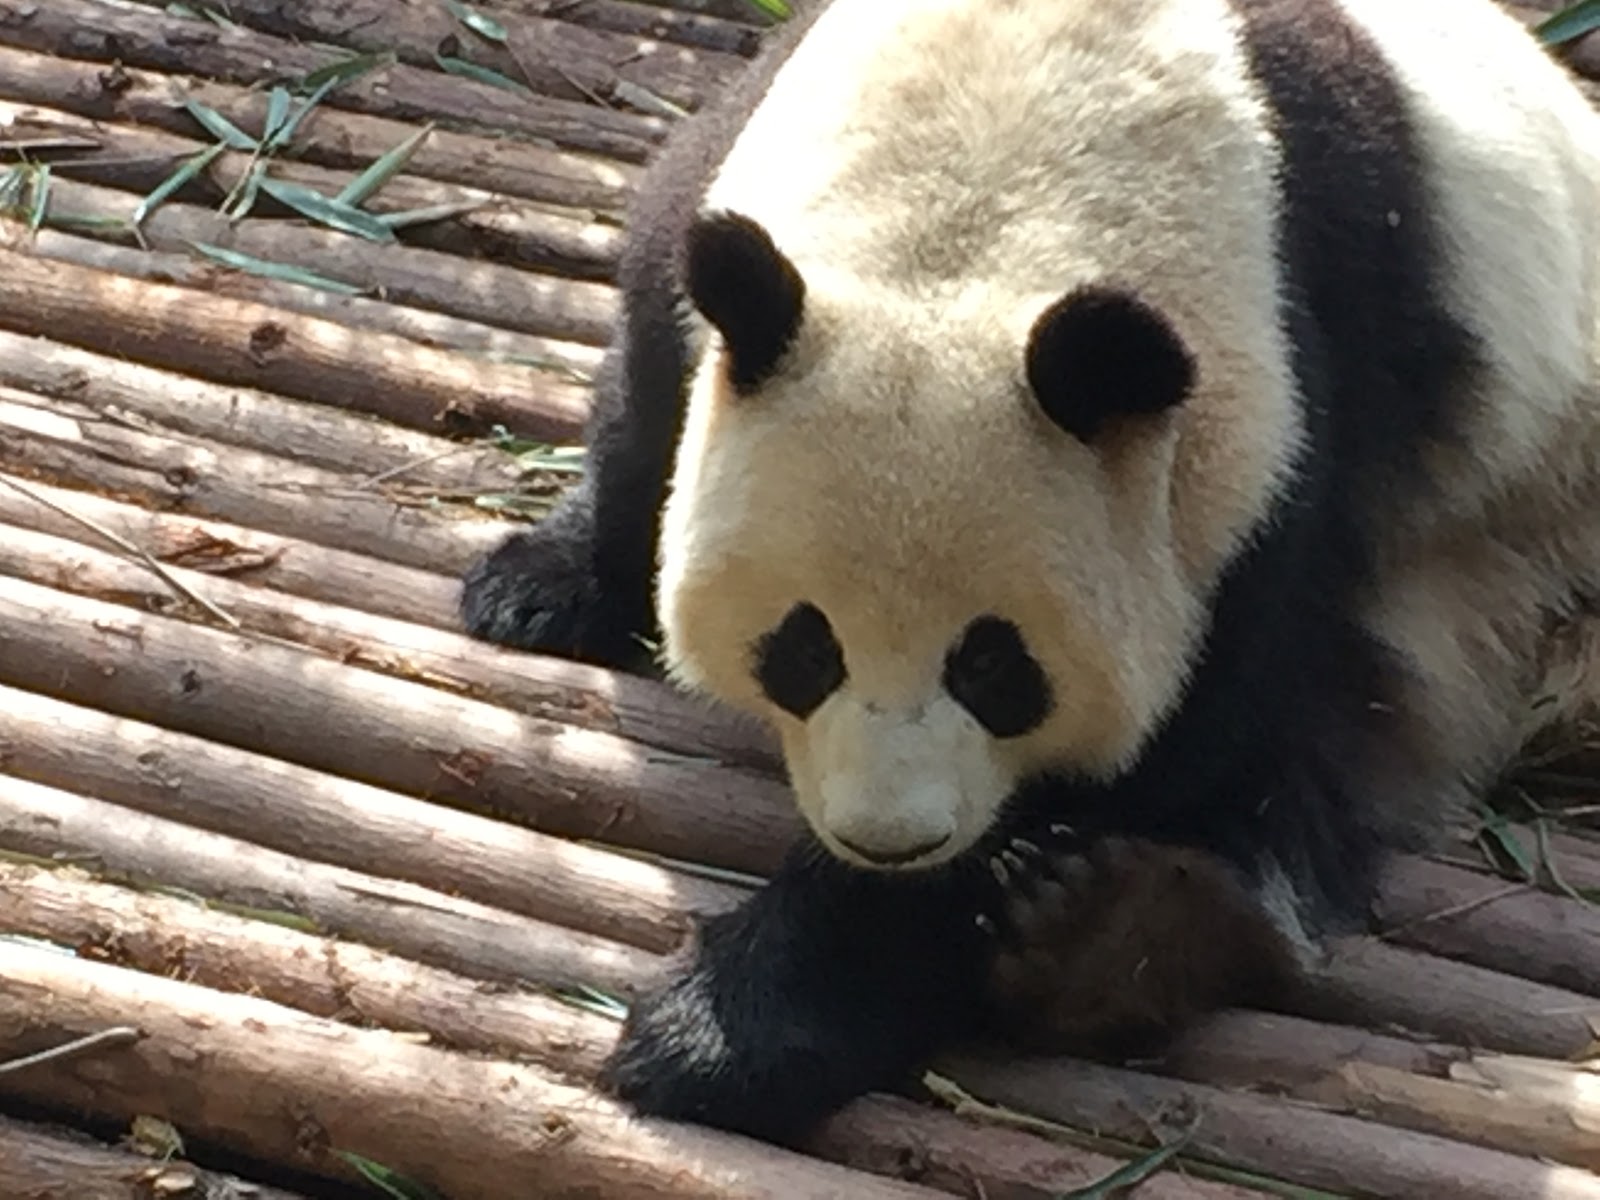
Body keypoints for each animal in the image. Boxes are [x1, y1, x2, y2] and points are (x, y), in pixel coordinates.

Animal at [461, 0, 1600, 1144]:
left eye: (995, 668)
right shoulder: (733, 200)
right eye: (803, 648)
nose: (888, 838)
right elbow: (650, 379)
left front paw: (724, 1036)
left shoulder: (1279, 416)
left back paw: (1116, 934)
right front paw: (540, 582)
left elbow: (1176, 730)